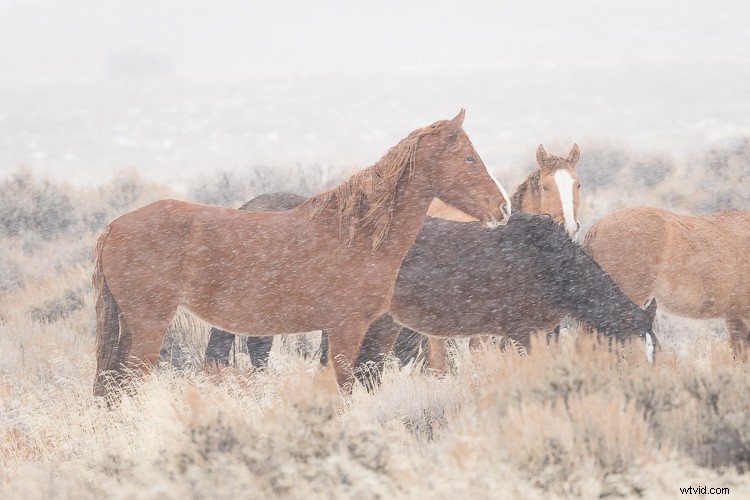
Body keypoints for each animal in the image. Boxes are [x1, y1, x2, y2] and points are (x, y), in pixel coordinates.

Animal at [92, 110, 511, 397]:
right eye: (470, 159)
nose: (503, 208)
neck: (357, 234)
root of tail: (114, 226)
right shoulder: (348, 328)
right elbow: (344, 385)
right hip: (150, 326)